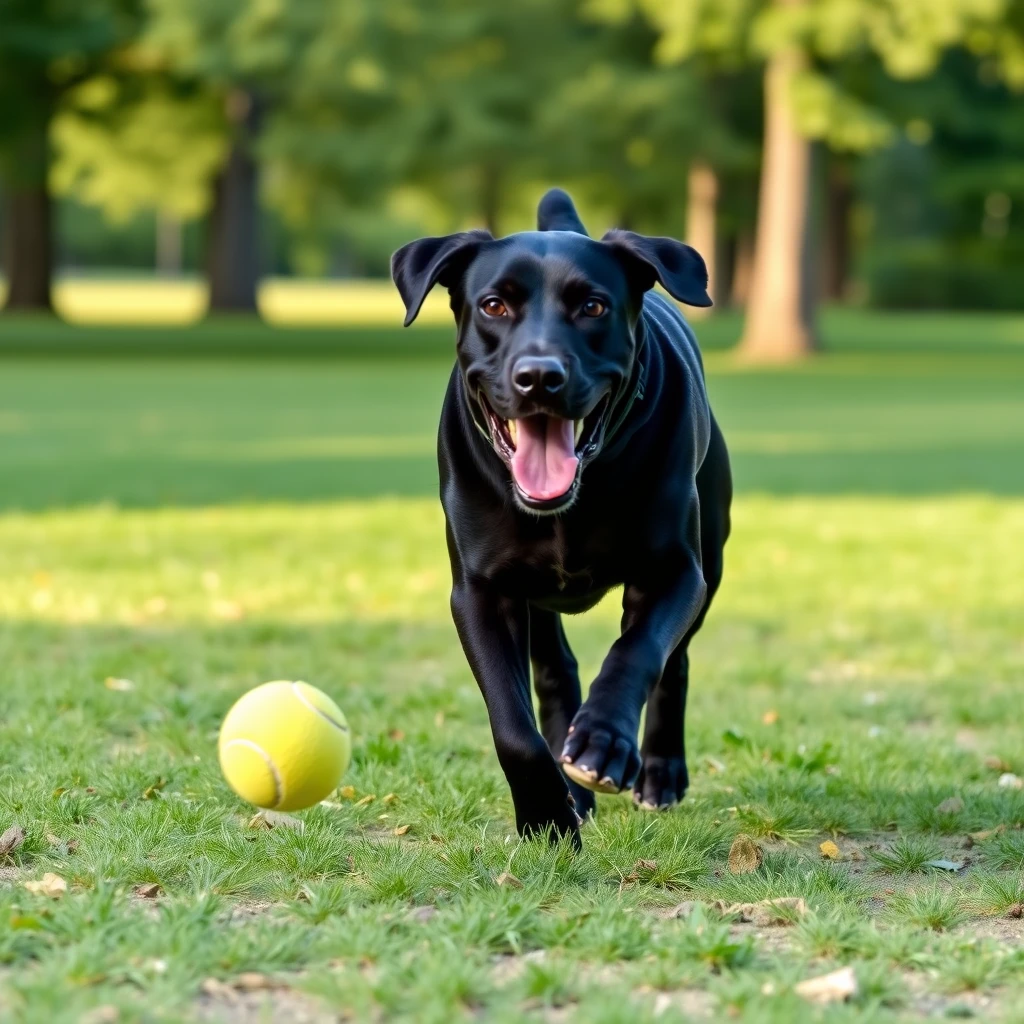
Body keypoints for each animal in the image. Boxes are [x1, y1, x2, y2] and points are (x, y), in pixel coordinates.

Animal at [387, 188, 733, 843]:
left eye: (593, 306)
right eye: (493, 305)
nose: (539, 376)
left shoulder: (676, 571)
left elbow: (638, 652)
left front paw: (604, 743)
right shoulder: (480, 590)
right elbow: (512, 723)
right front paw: (547, 816)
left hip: (714, 555)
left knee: (674, 663)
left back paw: (658, 771)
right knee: (553, 668)